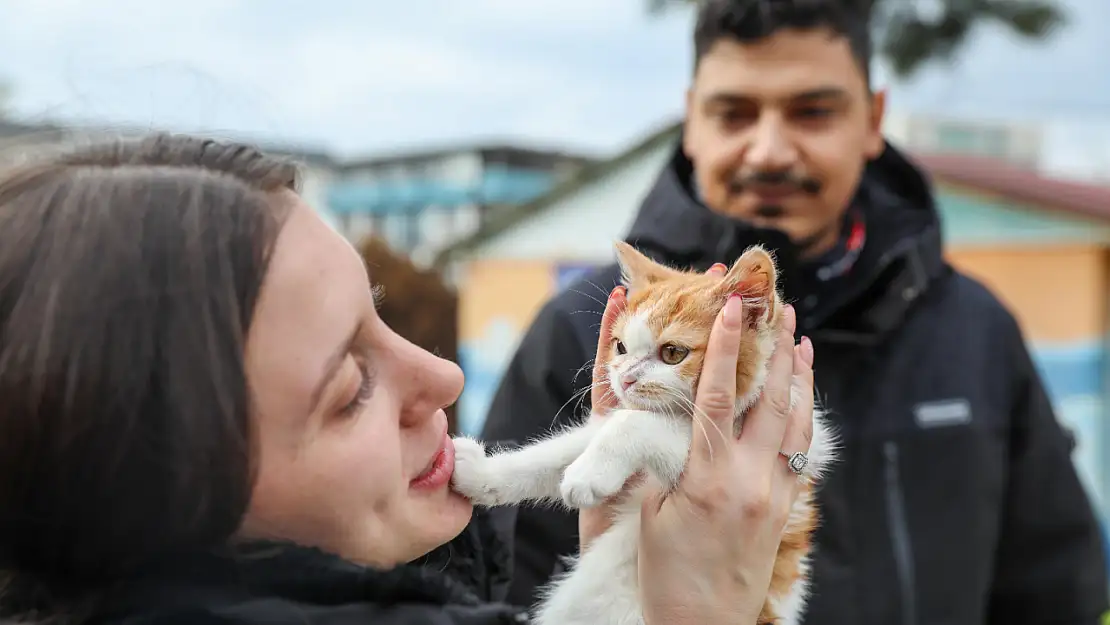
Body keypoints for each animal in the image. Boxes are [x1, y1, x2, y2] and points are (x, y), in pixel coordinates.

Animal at [446, 243, 834, 625]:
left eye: (673, 352)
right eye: (621, 347)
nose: (626, 378)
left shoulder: (721, 456)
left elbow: (635, 423)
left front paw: (588, 474)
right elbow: (560, 449)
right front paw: (483, 475)